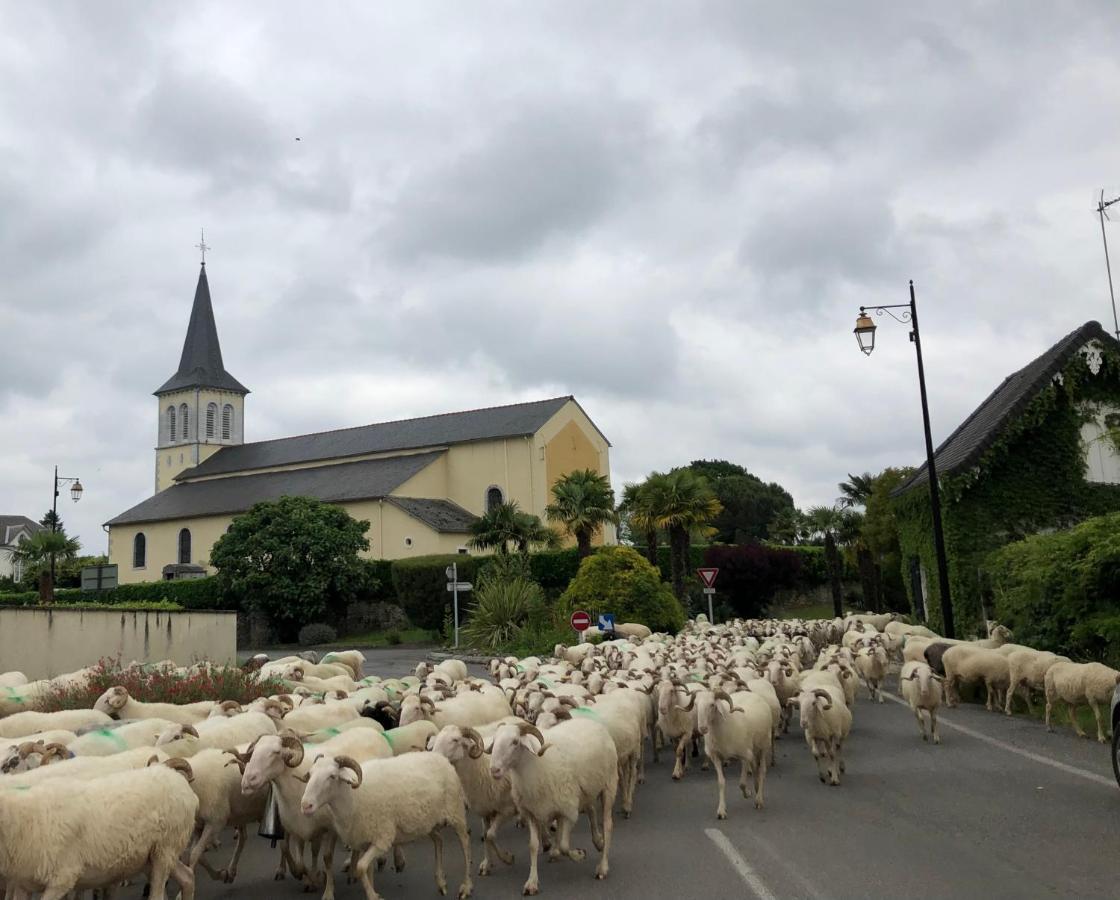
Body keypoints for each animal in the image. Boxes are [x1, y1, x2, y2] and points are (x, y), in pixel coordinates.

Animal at [0, 761, 197, 900]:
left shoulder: (62, 879)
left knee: (159, 894)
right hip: (152, 857)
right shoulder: (23, 885)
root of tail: (177, 779)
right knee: (188, 878)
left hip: (165, 850)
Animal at [300, 752, 470, 900]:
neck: (354, 798)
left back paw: (466, 888)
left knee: (465, 845)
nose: (305, 805)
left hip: (456, 812)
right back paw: (441, 883)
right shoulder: (366, 839)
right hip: (426, 822)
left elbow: (360, 867)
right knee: (439, 840)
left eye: (332, 776)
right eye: (310, 774)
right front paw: (372, 893)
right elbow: (367, 871)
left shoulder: (382, 839)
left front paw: (374, 896)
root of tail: (442, 758)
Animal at [430, 725, 517, 877]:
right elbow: (487, 836)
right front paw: (487, 864)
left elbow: (490, 835)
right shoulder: (485, 812)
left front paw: (507, 858)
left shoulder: (507, 810)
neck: (481, 769)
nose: (435, 756)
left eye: (455, 740)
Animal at [488, 716, 618, 891]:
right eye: (494, 740)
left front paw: (579, 854)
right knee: (591, 810)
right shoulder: (531, 812)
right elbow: (533, 846)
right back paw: (597, 842)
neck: (535, 766)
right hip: (586, 791)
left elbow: (564, 846)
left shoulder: (568, 810)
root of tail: (593, 722)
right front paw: (532, 882)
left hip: (609, 785)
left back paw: (602, 867)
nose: (494, 770)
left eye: (515, 742)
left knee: (607, 824)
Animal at [689, 689, 770, 823]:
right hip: (753, 748)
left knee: (762, 770)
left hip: (764, 745)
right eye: (695, 704)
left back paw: (759, 799)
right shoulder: (716, 757)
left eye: (712, 705)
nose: (703, 728)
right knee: (755, 767)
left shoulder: (745, 754)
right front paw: (721, 810)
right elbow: (721, 782)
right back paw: (756, 787)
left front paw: (747, 793)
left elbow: (741, 783)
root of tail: (750, 693)